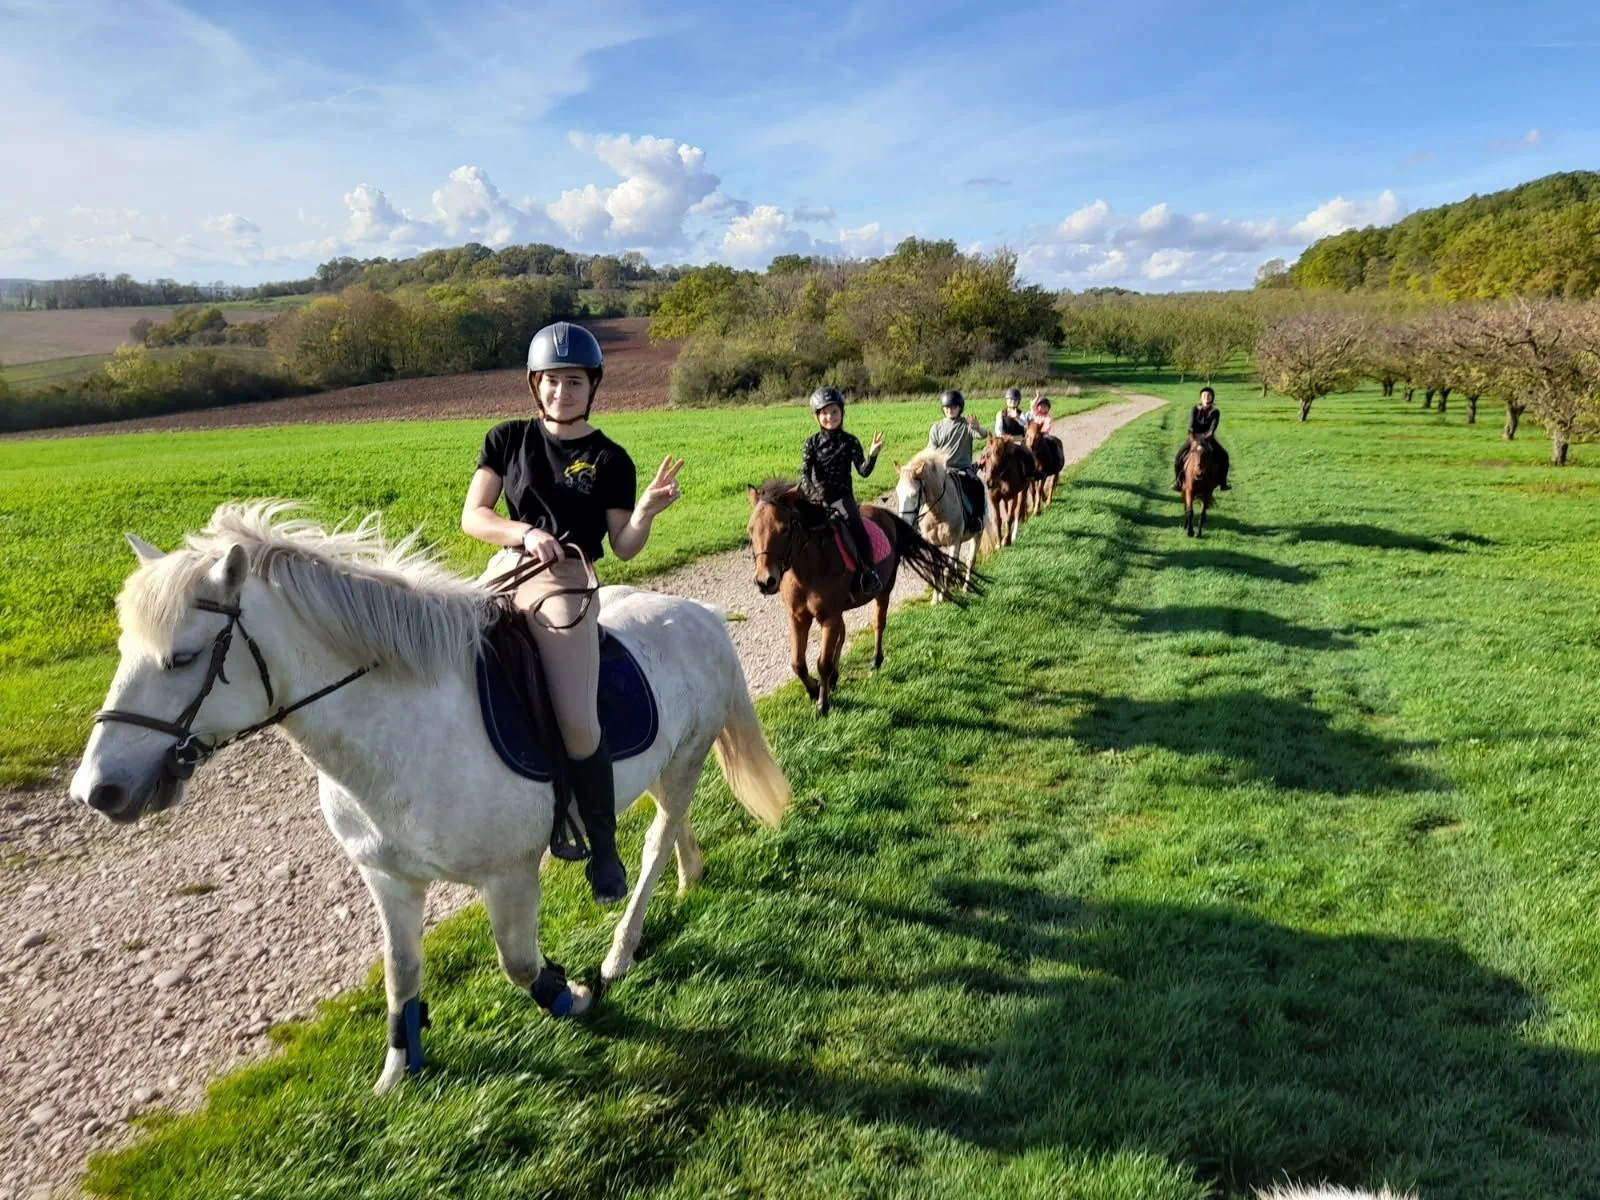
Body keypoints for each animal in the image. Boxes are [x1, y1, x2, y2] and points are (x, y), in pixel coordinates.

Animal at [69, 502, 791, 1095]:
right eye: (125, 648)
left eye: (183, 657)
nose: (97, 790)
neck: (399, 735)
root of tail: (700, 616)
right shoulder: (388, 879)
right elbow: (401, 971)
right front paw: (398, 1067)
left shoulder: (509, 878)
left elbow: (519, 965)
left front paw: (574, 995)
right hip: (663, 765)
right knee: (671, 825)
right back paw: (690, 877)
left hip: (686, 757)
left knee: (654, 840)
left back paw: (620, 949)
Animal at [747, 480, 973, 715]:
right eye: (751, 529)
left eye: (784, 529)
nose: (765, 581)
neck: (809, 568)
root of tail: (886, 515)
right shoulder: (798, 617)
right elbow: (798, 663)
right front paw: (814, 690)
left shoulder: (830, 617)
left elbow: (823, 663)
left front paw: (823, 704)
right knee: (843, 633)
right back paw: (836, 677)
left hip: (884, 590)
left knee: (878, 624)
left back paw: (875, 660)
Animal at [894, 449, 998, 603]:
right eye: (898, 492)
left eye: (914, 493)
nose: (904, 522)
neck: (938, 513)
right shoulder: (933, 545)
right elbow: (936, 570)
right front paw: (935, 599)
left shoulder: (953, 543)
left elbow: (947, 569)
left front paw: (943, 596)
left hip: (977, 535)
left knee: (970, 560)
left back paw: (964, 587)